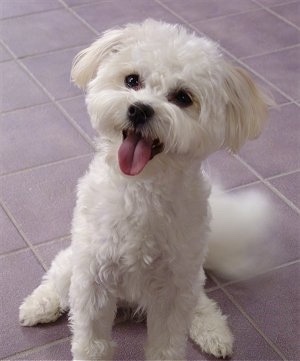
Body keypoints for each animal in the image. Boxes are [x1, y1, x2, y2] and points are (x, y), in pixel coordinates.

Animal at [19, 20, 272, 360]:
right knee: (58, 275)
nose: (139, 110)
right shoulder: (94, 278)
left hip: (191, 276)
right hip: (76, 258)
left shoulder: (174, 288)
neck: (141, 188)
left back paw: (215, 333)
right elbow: (92, 340)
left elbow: (167, 343)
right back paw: (38, 305)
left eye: (183, 97)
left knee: (202, 303)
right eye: (132, 80)